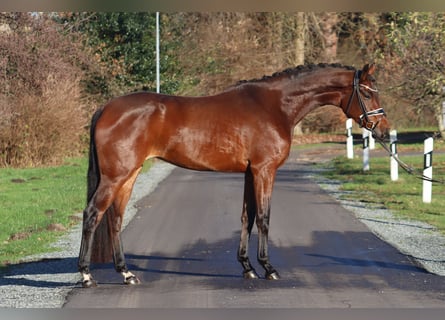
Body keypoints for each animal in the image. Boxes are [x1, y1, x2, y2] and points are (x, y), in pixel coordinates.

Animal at [79, 62, 388, 288]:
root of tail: (106, 108)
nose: (384, 131)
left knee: (115, 219)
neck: (275, 105)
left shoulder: (250, 173)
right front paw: (268, 268)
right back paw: (86, 275)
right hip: (115, 176)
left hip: (129, 175)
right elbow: (263, 217)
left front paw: (247, 267)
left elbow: (246, 217)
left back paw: (126, 274)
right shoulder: (264, 170)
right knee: (93, 214)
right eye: (368, 93)